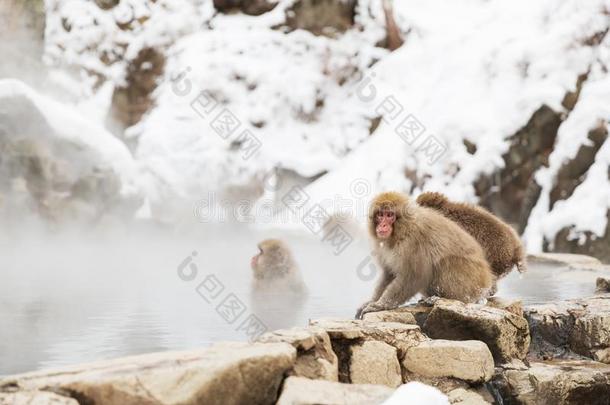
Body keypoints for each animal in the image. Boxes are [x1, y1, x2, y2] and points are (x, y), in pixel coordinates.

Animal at [354, 190, 492, 318]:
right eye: (380, 215)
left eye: (389, 215)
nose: (382, 225)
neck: (402, 231)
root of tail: (485, 284)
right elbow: (389, 273)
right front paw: (372, 301)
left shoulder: (413, 244)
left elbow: (414, 276)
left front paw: (380, 305)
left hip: (469, 284)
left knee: (444, 262)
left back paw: (439, 298)